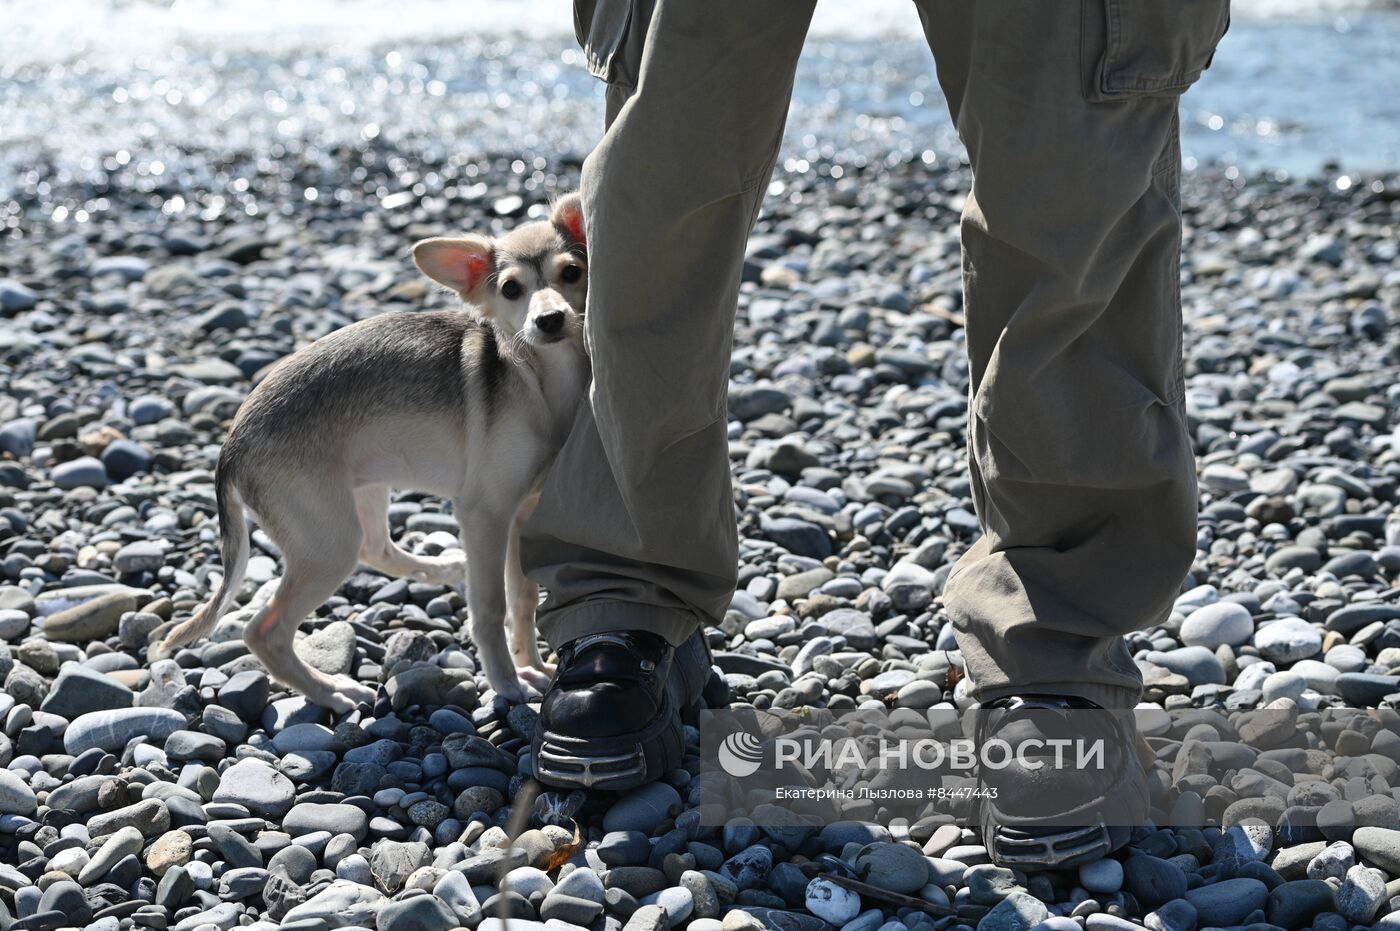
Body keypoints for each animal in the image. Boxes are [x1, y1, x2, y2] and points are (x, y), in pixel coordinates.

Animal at [162, 191, 590, 708]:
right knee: (264, 630)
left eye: (572, 273)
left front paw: (532, 666)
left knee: (376, 549)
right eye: (510, 289)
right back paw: (331, 692)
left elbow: (523, 599)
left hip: (362, 493)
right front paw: (508, 683)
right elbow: (491, 607)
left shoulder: (521, 514)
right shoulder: (485, 514)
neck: (541, 379)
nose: (549, 319)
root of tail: (230, 447)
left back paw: (443, 566)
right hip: (328, 541)